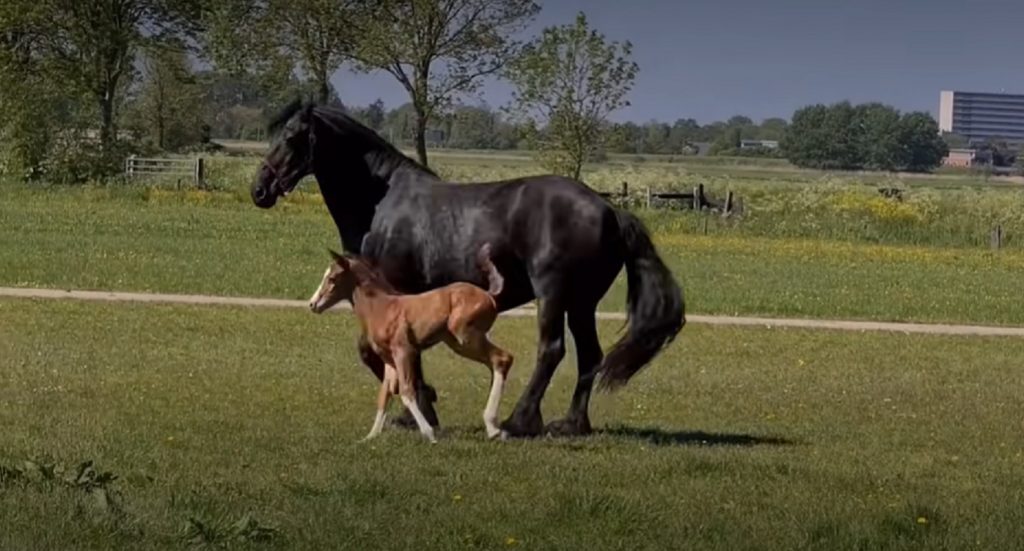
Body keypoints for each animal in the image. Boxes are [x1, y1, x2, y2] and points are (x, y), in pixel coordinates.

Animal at [303, 244, 512, 442]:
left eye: (332, 278)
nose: (312, 304)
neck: (381, 307)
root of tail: (488, 295)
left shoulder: (404, 352)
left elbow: (406, 390)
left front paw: (429, 433)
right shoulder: (388, 360)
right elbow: (385, 394)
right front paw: (370, 436)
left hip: (465, 337)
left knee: (502, 358)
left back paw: (492, 426)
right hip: (458, 343)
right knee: (495, 363)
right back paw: (493, 427)